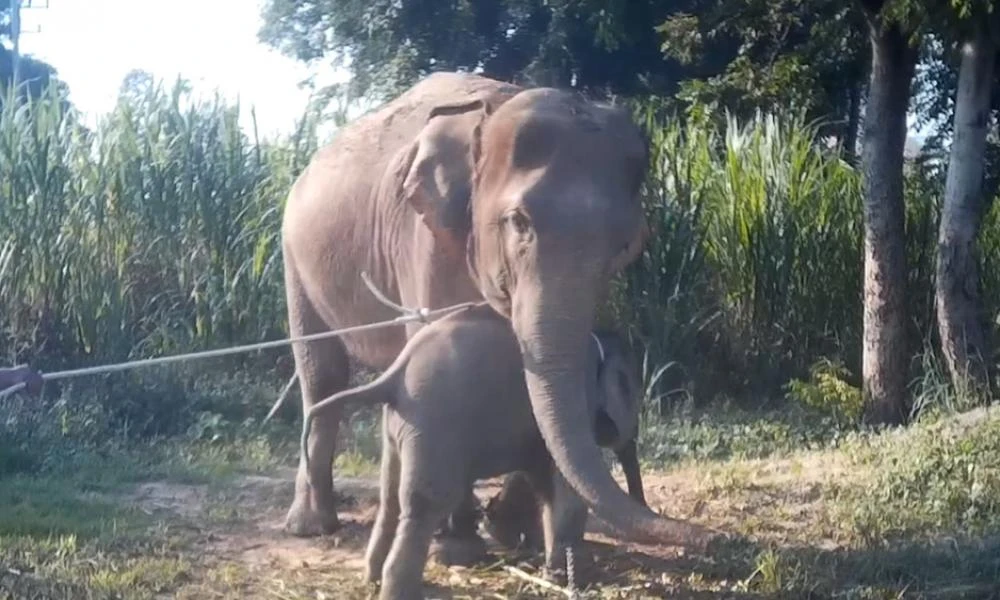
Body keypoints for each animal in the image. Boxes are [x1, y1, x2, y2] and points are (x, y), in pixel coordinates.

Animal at [282, 72, 716, 556]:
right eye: (518, 222)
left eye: (624, 245)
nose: (709, 536)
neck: (494, 110)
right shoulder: (424, 238)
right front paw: (460, 547)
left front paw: (505, 529)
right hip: (295, 256)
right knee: (323, 372)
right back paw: (313, 526)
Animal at [304, 308, 644, 596]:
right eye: (631, 394)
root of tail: (394, 374)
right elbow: (565, 488)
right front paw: (575, 578)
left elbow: (547, 485)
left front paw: (557, 574)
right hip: (433, 424)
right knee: (425, 502)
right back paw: (400, 590)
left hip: (398, 426)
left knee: (390, 498)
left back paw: (371, 579)